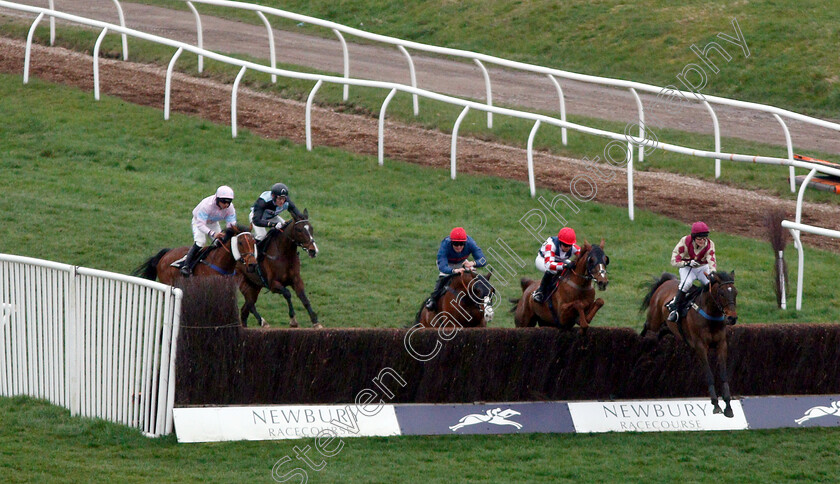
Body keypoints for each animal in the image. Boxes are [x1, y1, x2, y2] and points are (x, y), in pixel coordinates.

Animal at [640, 270, 740, 418]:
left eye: (735, 292)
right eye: (721, 293)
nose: (732, 318)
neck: (711, 315)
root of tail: (666, 281)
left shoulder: (721, 345)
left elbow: (723, 374)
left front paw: (728, 406)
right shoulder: (700, 347)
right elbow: (709, 375)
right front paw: (716, 404)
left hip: (670, 328)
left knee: (662, 331)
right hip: (654, 319)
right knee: (646, 326)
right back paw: (640, 340)